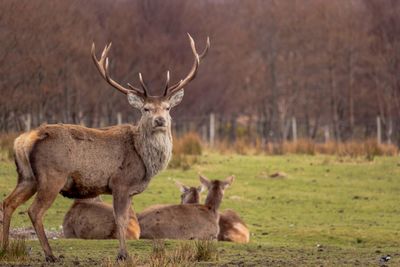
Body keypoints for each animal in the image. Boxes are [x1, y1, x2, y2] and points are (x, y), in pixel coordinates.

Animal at [0, 34, 211, 262]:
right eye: (146, 109)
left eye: (168, 107)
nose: (160, 120)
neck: (144, 160)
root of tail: (24, 140)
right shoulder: (120, 183)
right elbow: (120, 219)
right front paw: (123, 254)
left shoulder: (129, 190)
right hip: (52, 175)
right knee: (34, 211)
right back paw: (50, 254)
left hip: (27, 177)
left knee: (8, 202)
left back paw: (6, 248)